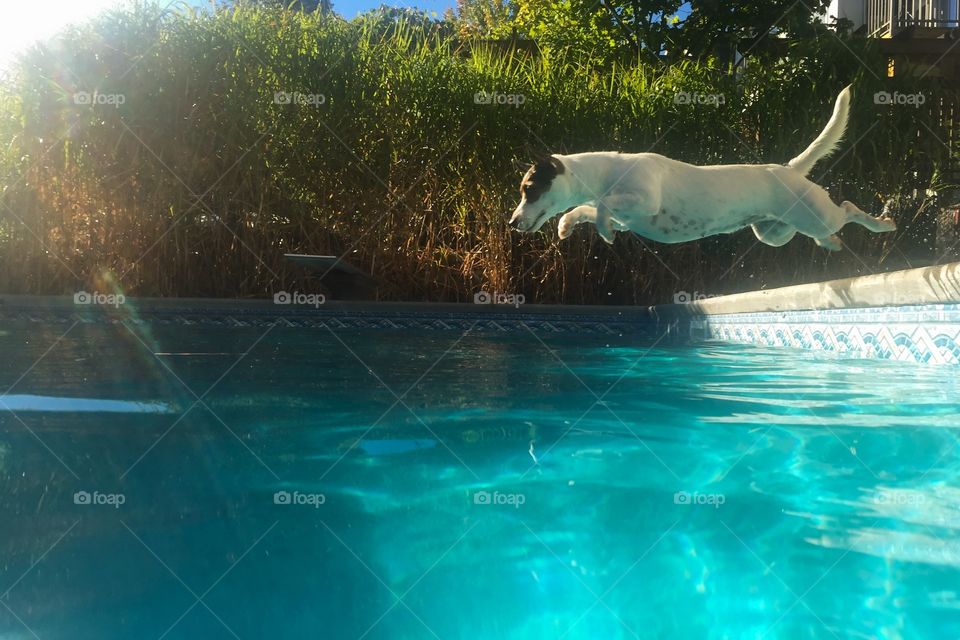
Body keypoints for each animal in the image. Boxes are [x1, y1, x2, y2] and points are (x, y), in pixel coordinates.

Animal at [512, 86, 896, 251]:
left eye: (530, 189)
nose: (513, 223)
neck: (607, 171)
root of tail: (788, 169)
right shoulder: (628, 216)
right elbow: (585, 210)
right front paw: (566, 225)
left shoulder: (645, 200)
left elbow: (604, 207)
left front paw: (603, 233)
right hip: (774, 232)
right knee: (818, 229)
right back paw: (830, 243)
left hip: (815, 214)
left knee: (847, 209)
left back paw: (882, 223)